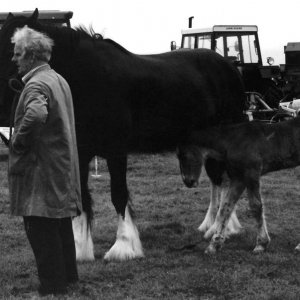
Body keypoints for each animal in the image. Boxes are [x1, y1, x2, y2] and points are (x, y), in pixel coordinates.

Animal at [0, 8, 246, 260]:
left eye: (12, 50)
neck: (90, 80)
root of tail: (228, 66)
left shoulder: (116, 151)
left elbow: (118, 194)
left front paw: (124, 246)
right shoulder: (80, 152)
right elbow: (83, 198)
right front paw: (81, 248)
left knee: (225, 178)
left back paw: (222, 227)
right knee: (217, 180)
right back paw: (212, 225)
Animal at [177, 118, 300, 254]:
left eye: (183, 155)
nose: (188, 181)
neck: (233, 141)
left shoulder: (251, 174)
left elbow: (256, 207)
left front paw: (261, 244)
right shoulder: (239, 178)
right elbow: (225, 207)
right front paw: (214, 244)